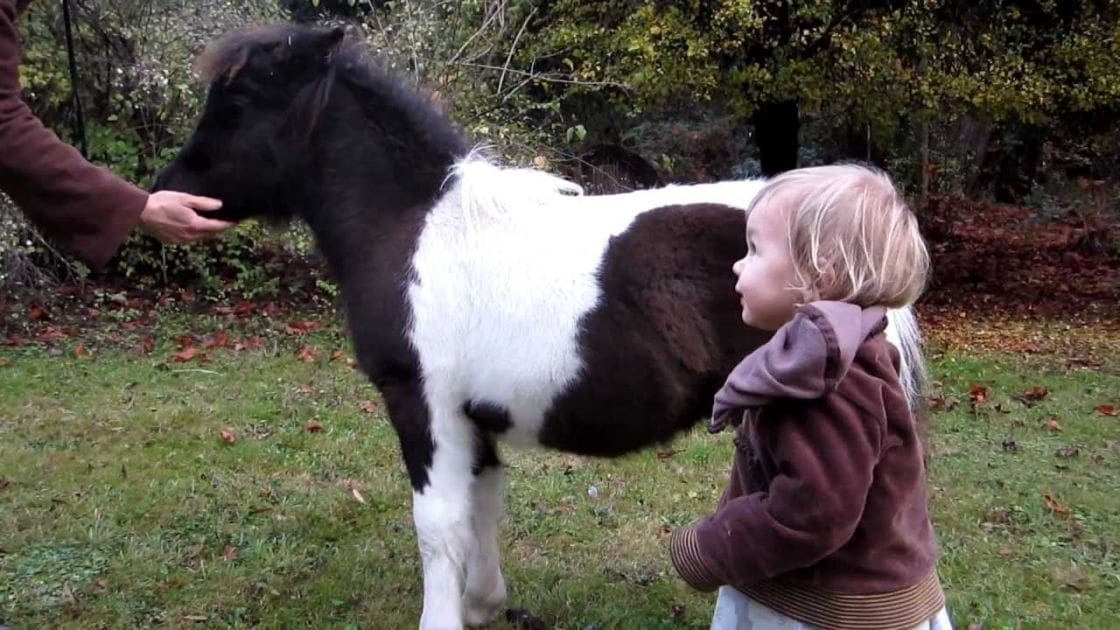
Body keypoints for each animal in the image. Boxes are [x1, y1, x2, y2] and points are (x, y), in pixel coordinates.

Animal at [153, 24, 925, 629]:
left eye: (239, 103)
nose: (168, 192)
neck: (414, 227)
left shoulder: (423, 405)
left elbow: (437, 527)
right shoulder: (475, 416)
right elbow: (483, 506)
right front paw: (483, 605)